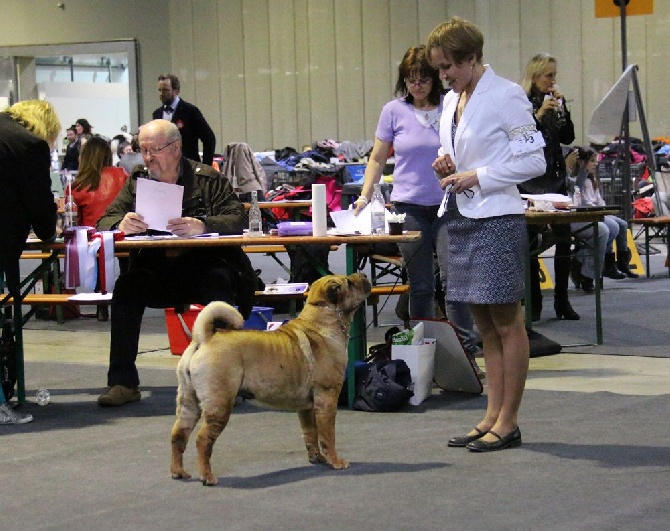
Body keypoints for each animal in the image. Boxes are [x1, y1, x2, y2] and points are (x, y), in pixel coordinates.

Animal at [171, 274, 372, 486]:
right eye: (349, 283)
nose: (364, 275)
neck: (322, 321)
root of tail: (205, 339)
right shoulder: (327, 399)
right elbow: (327, 435)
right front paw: (335, 461)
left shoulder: (307, 407)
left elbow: (310, 433)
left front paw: (317, 458)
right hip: (219, 405)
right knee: (203, 440)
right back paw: (208, 477)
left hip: (189, 404)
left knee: (179, 435)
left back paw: (178, 472)